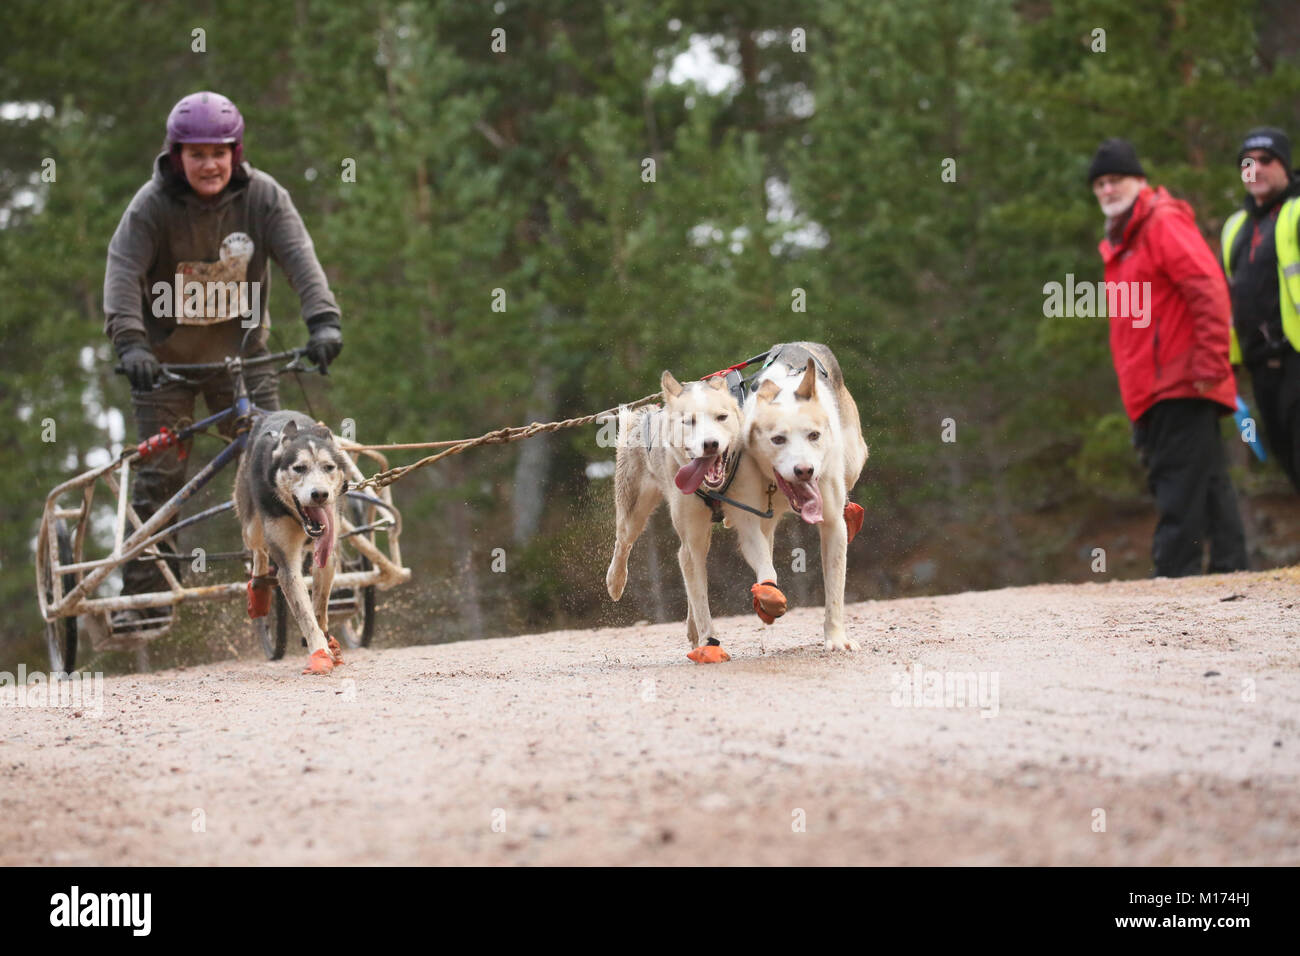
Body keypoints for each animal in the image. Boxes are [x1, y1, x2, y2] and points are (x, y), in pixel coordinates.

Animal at [231, 408, 348, 671]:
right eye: (299, 468)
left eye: (328, 467)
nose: (320, 494)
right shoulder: (287, 564)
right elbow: (304, 613)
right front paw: (319, 651)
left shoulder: (327, 553)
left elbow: (319, 605)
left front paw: (326, 640)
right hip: (252, 527)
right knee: (258, 551)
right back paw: (259, 589)